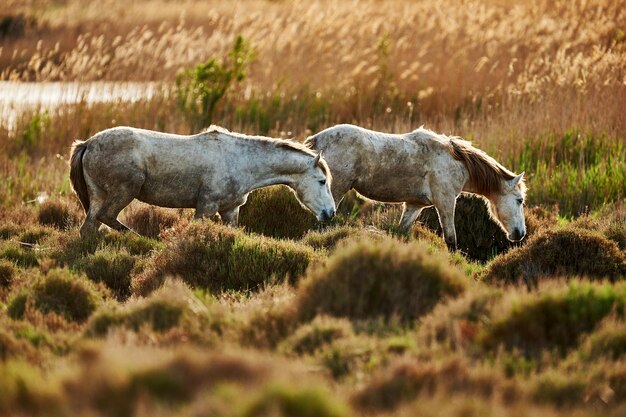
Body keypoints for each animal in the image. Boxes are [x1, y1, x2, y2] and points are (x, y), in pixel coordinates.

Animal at [69, 124, 336, 237]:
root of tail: (87, 143)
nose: (330, 213)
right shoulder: (206, 207)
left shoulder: (230, 210)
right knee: (107, 217)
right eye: (322, 181)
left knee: (90, 227)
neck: (241, 161)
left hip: (98, 195)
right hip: (125, 190)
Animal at [304, 122, 524, 249]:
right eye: (520, 200)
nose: (520, 234)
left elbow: (400, 231)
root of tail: (316, 140)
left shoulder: (414, 205)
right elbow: (451, 240)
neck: (455, 161)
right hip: (335, 191)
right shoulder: (445, 202)